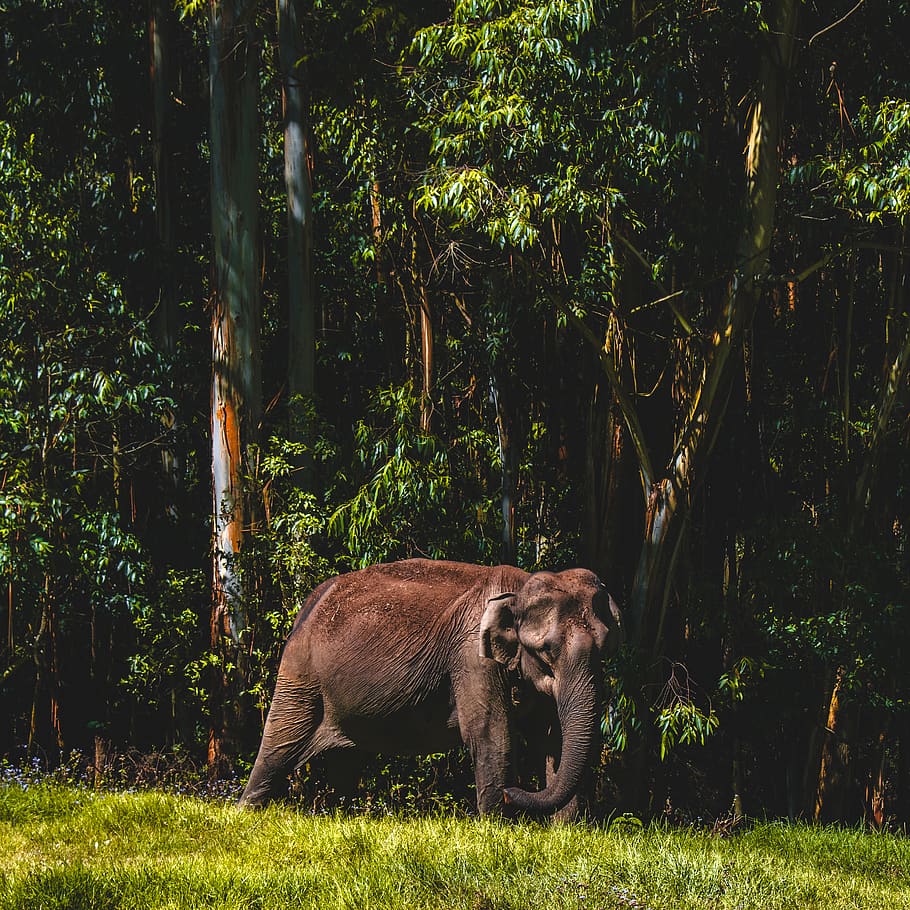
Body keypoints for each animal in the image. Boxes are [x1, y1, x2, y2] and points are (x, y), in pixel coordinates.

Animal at [238, 558, 622, 816]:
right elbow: (491, 732)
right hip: (300, 674)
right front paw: (497, 828)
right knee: (278, 744)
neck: (520, 587)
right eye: (546, 650)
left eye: (606, 648)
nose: (512, 790)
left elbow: (552, 737)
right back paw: (245, 812)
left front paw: (565, 831)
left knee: (345, 762)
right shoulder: (471, 656)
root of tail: (309, 602)